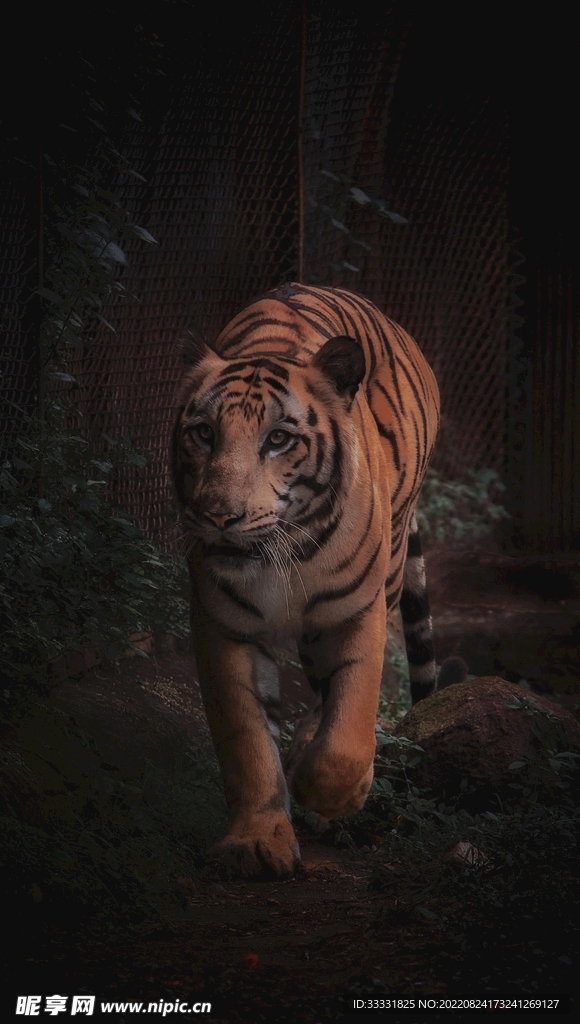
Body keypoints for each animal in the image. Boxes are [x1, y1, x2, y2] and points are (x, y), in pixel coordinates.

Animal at [172, 283, 441, 879]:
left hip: (389, 567)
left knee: (325, 699)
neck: (277, 556)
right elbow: (247, 741)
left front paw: (329, 795)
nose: (219, 516)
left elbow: (347, 729)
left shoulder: (356, 611)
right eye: (204, 433)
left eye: (278, 439)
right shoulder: (223, 626)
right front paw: (255, 841)